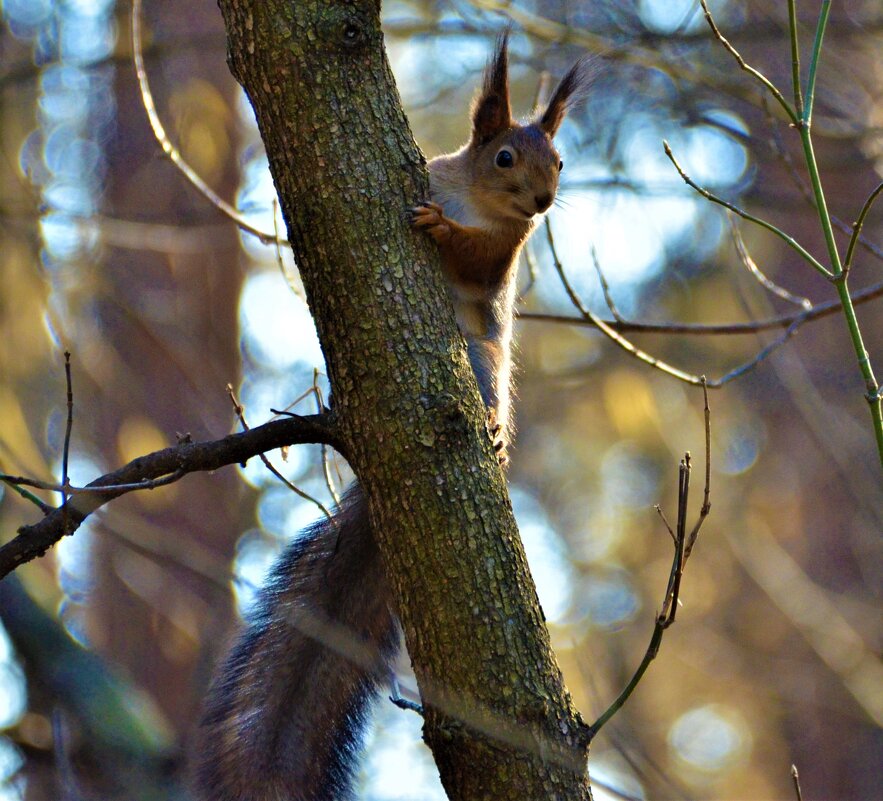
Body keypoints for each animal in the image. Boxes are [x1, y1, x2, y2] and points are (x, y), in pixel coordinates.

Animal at [193, 34, 588, 800]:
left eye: (558, 161)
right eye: (504, 157)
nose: (544, 202)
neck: (480, 202)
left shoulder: (503, 255)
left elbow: (476, 258)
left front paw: (443, 229)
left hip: (486, 363)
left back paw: (494, 433)